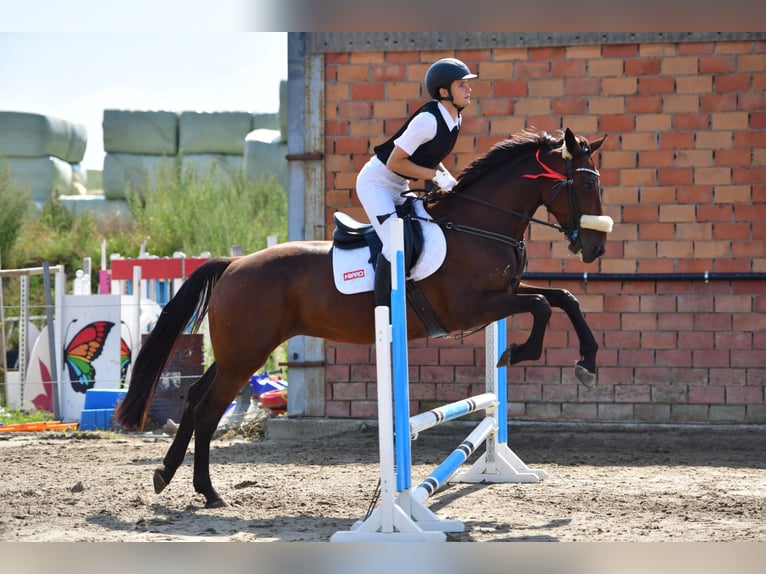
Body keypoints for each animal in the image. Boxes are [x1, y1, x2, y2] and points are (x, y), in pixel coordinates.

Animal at [115, 127, 611, 508]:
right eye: (585, 186)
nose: (595, 248)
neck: (478, 225)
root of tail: (234, 264)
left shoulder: (503, 296)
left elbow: (564, 298)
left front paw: (587, 364)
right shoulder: (471, 306)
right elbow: (543, 305)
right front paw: (518, 352)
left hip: (239, 351)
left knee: (196, 397)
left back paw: (169, 477)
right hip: (246, 354)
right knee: (208, 409)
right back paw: (207, 491)